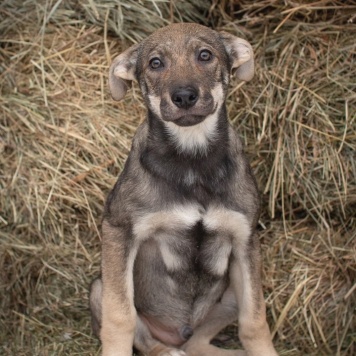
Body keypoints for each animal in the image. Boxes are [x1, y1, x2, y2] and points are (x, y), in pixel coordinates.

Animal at [89, 23, 278, 356]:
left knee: (198, 341)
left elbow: (255, 321)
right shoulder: (118, 230)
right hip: (100, 287)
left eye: (205, 55)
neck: (192, 159)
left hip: (231, 291)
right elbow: (120, 316)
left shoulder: (245, 241)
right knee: (152, 341)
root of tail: (178, 334)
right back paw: (167, 350)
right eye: (155, 63)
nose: (184, 96)